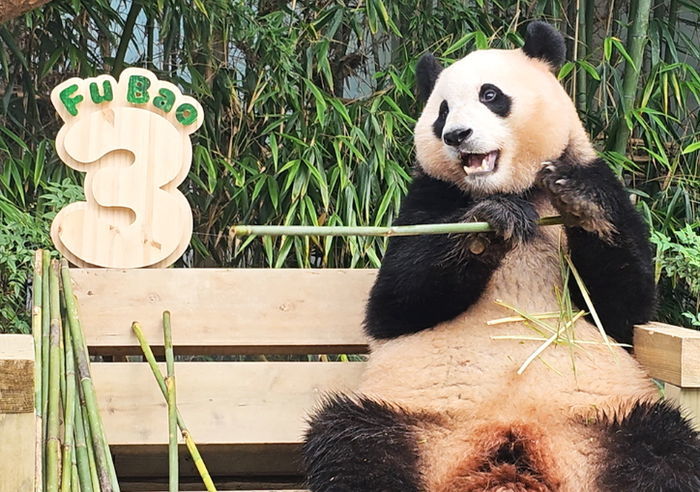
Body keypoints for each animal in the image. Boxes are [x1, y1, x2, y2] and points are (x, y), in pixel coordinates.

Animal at [304, 21, 700, 490]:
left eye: (490, 95)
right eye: (441, 112)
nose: (456, 136)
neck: (514, 188)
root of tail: (511, 447)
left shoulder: (595, 177)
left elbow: (623, 308)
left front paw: (581, 204)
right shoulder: (429, 196)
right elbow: (394, 304)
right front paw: (491, 226)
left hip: (610, 419)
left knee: (664, 449)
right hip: (409, 419)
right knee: (353, 443)